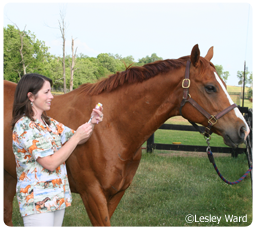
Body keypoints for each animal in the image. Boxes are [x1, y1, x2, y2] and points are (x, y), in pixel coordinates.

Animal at [2, 44, 249, 226]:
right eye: (210, 87)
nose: (243, 129)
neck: (111, 128)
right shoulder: (92, 195)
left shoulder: (116, 194)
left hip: (10, 176)